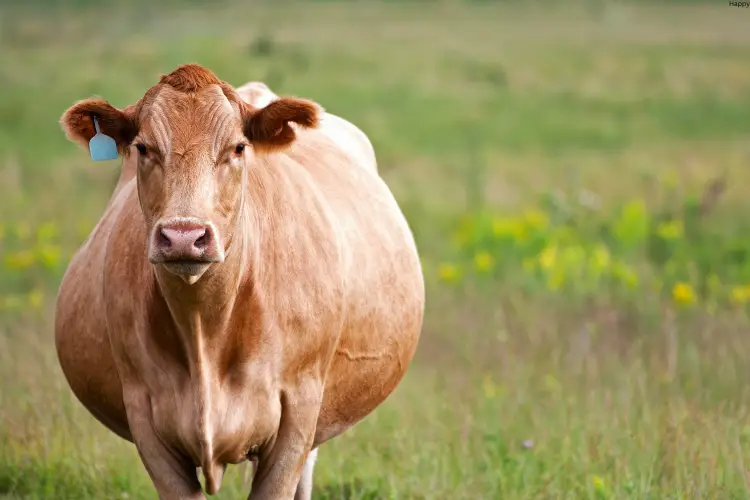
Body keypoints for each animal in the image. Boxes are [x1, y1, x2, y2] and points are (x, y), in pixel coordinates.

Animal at [54, 63, 424, 500]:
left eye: (238, 148)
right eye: (143, 148)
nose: (184, 235)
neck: (205, 330)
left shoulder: (298, 414)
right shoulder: (145, 419)